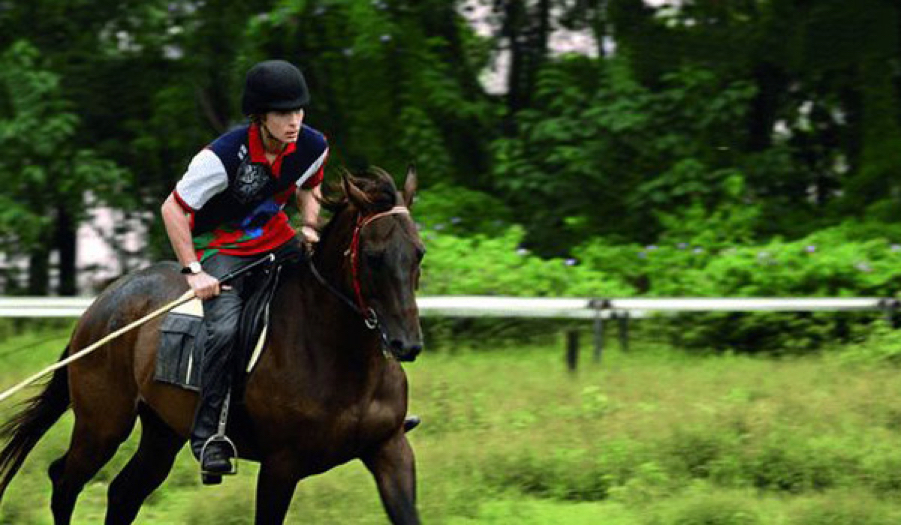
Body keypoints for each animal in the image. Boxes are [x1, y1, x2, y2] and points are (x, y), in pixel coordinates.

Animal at [0, 165, 426, 524]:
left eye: (418, 253)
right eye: (372, 256)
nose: (407, 344)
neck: (340, 358)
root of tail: (101, 307)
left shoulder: (390, 450)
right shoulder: (281, 466)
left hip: (161, 432)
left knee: (122, 494)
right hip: (101, 426)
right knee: (64, 481)